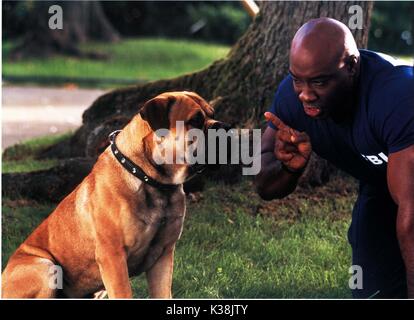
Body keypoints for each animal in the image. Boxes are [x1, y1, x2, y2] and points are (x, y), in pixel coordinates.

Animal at [1, 91, 228, 298]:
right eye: (195, 120)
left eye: (213, 114)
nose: (223, 127)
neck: (152, 180)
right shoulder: (113, 256)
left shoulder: (163, 255)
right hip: (45, 265)